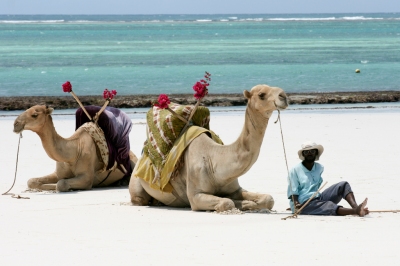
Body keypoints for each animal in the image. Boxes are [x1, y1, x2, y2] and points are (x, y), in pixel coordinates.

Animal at [130, 85, 290, 212]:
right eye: (261, 94)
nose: (284, 96)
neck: (214, 160)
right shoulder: (195, 196)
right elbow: (227, 202)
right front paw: (242, 204)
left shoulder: (235, 188)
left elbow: (268, 199)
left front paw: (247, 203)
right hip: (137, 185)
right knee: (140, 199)